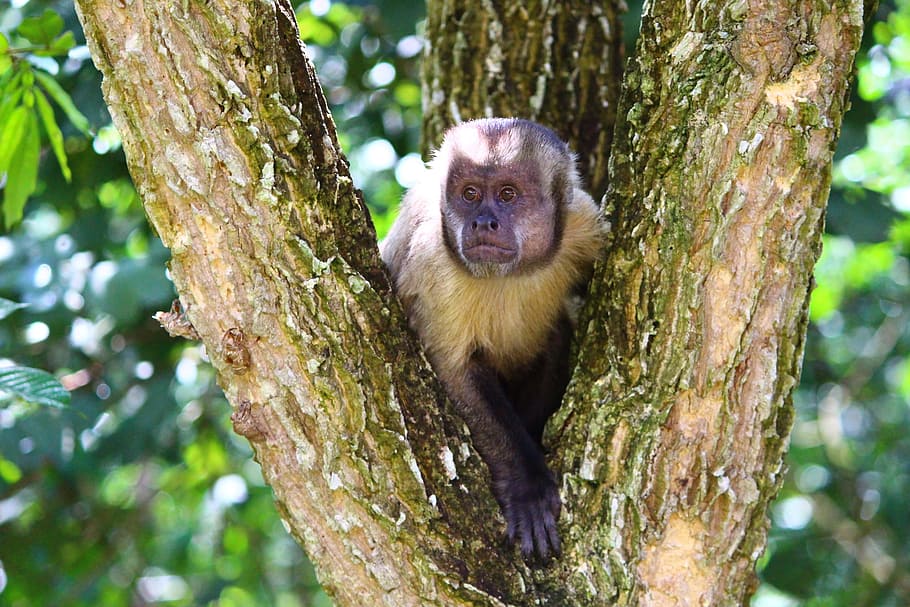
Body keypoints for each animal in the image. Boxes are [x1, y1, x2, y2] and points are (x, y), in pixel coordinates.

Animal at [380, 118, 605, 559]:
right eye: (470, 195)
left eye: (507, 194)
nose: (483, 222)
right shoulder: (432, 257)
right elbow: (455, 371)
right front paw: (527, 486)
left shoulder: (583, 223)